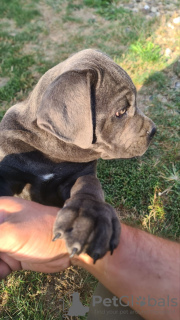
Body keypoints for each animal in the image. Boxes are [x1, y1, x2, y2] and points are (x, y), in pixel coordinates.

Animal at [0, 48, 155, 262]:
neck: (52, 151)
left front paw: (90, 216)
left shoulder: (81, 173)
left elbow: (88, 184)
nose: (153, 131)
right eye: (121, 111)